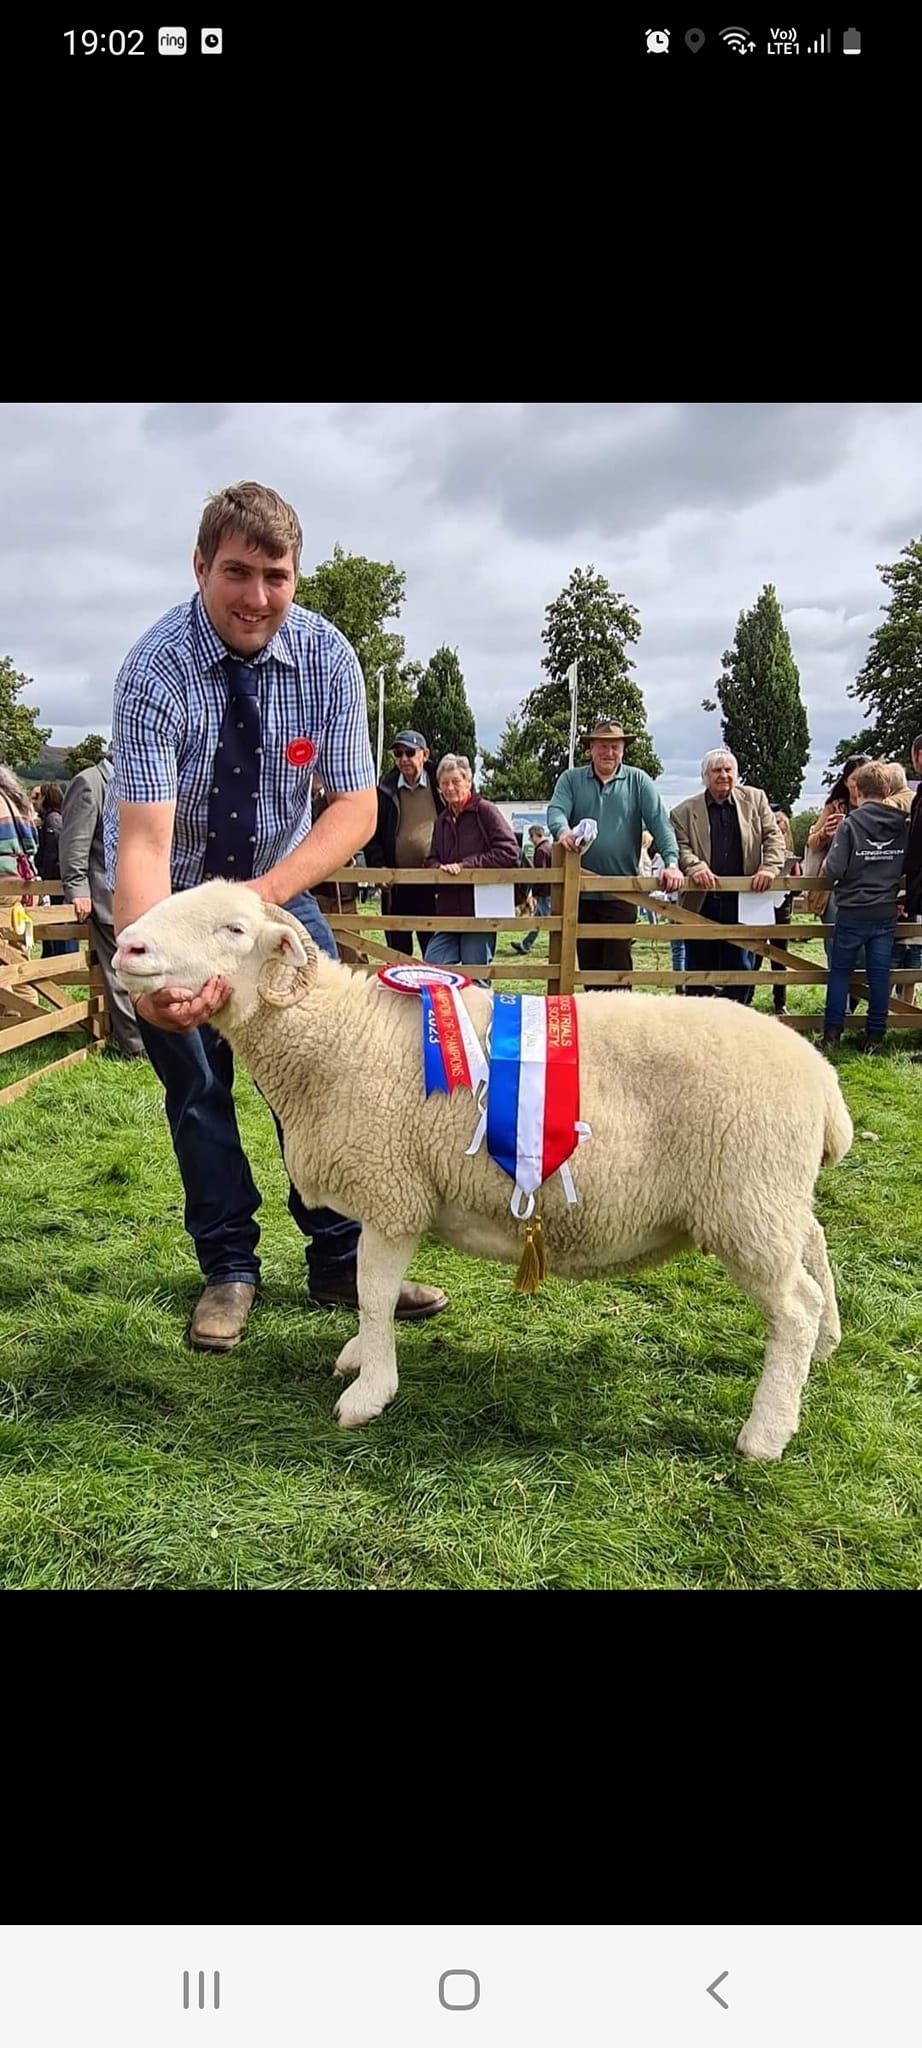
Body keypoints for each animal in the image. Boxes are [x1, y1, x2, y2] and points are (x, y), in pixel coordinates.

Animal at [117, 880, 856, 1458]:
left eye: (235, 929)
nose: (127, 947)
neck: (337, 1038)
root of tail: (822, 1083)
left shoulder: (392, 1192)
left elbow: (373, 1292)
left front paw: (369, 1391)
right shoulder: (390, 1191)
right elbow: (371, 1293)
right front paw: (361, 1354)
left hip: (746, 1202)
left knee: (792, 1306)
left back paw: (767, 1431)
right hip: (775, 1199)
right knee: (816, 1250)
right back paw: (827, 1346)